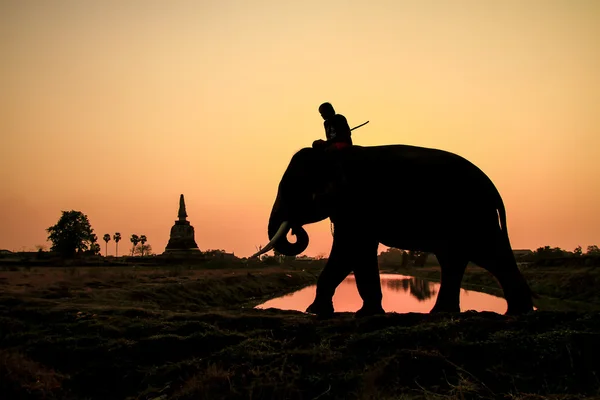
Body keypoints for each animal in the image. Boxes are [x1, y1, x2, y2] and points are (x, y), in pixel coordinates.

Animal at [253, 145, 536, 318]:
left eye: (292, 189)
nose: (294, 229)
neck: (333, 156)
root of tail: (492, 187)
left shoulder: (357, 204)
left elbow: (348, 249)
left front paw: (314, 311)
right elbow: (359, 252)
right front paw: (367, 313)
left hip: (473, 215)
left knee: (486, 253)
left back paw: (517, 313)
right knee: (456, 258)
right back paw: (447, 313)